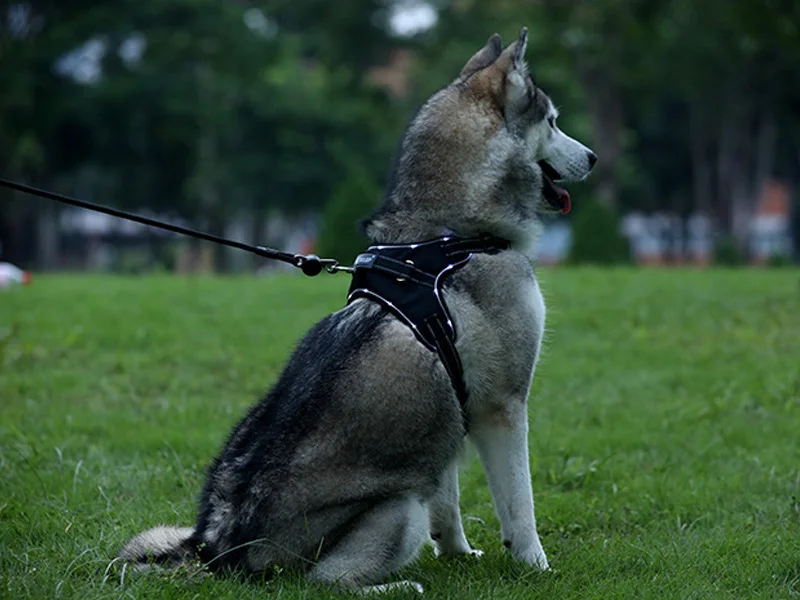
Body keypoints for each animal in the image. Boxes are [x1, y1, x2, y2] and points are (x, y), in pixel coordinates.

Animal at [120, 27, 592, 592]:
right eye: (553, 121)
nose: (593, 158)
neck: (448, 235)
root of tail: (218, 551)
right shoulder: (501, 406)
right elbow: (521, 507)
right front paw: (536, 565)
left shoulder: (446, 418)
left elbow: (448, 504)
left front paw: (458, 554)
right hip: (397, 509)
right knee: (322, 581)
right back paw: (398, 586)